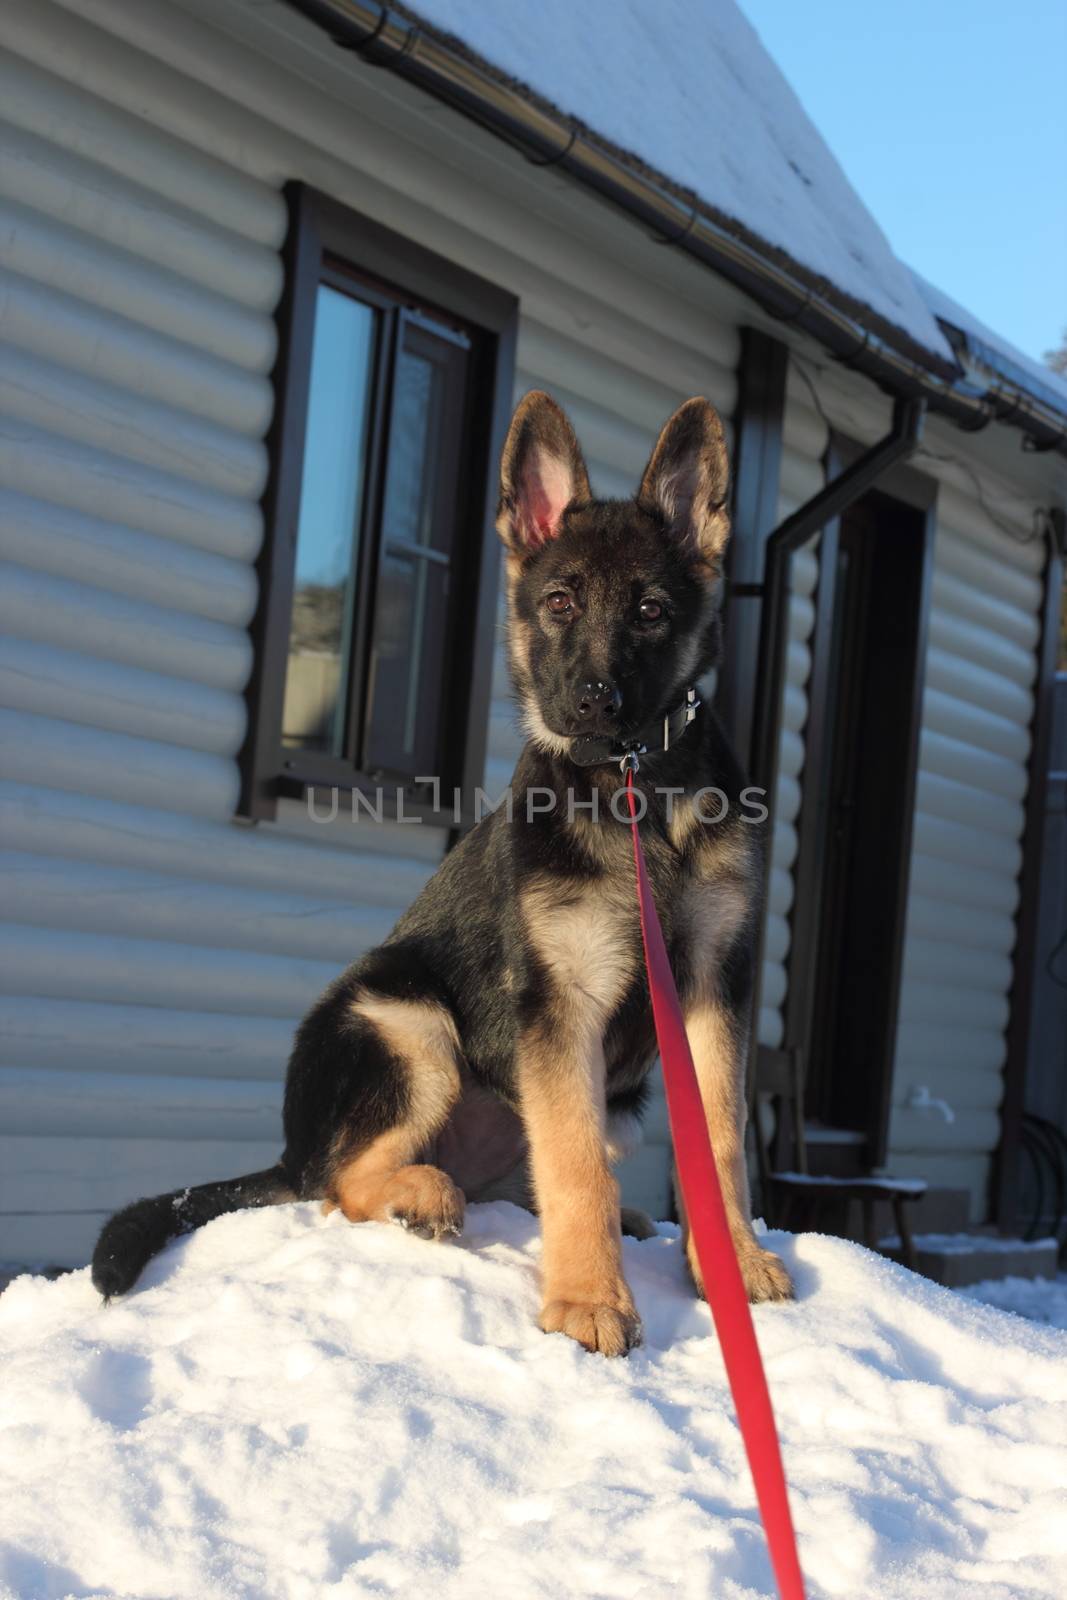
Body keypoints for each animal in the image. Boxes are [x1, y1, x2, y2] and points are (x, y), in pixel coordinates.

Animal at [91, 387, 793, 1350]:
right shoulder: (559, 1004)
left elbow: (717, 1142)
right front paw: (587, 1300)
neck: (636, 793)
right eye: (560, 602)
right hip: (409, 1022)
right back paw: (421, 1193)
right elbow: (574, 1161)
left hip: (607, 1102)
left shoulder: (711, 993)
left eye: (651, 611)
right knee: (336, 1185)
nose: (591, 705)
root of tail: (289, 1147)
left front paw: (730, 1263)